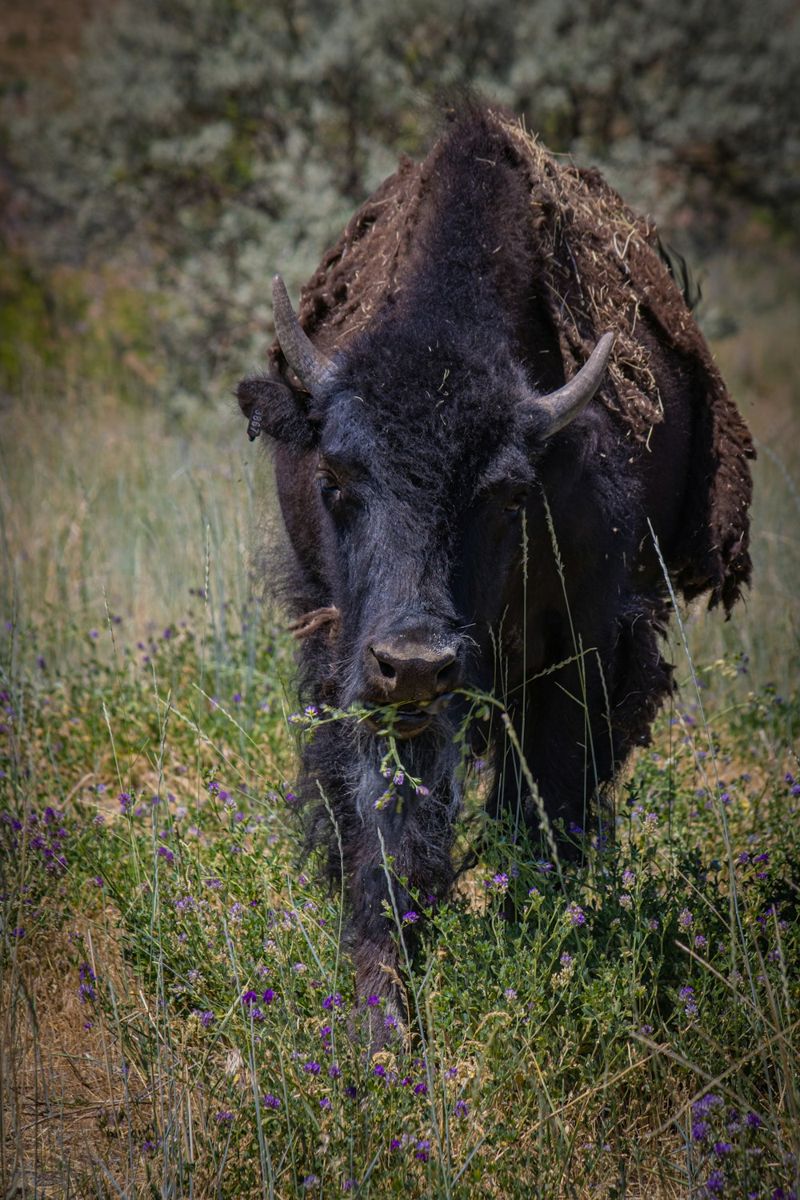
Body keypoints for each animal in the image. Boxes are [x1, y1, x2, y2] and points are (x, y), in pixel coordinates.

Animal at [237, 102, 753, 1041]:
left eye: (510, 493)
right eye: (334, 477)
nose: (415, 661)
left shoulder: (579, 647)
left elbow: (542, 812)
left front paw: (536, 971)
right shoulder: (354, 662)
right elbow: (386, 827)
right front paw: (385, 1031)